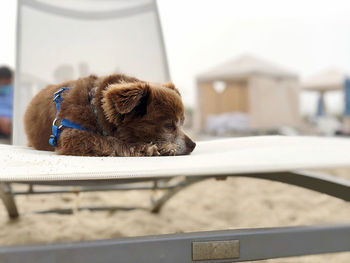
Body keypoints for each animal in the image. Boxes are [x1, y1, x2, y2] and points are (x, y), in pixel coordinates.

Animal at [23, 74, 196, 157]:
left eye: (182, 122)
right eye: (168, 125)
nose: (193, 144)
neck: (94, 109)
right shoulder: (71, 138)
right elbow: (110, 140)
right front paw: (149, 148)